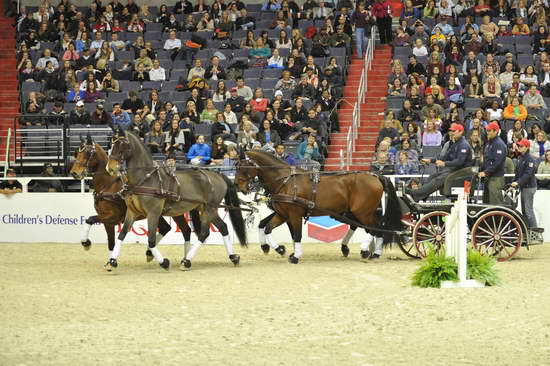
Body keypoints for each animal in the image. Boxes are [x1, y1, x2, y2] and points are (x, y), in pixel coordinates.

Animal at [70, 136, 197, 268]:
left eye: (88, 153)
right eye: (77, 153)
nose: (74, 173)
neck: (108, 185)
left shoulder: (112, 216)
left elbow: (89, 219)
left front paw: (86, 243)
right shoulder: (107, 221)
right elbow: (111, 242)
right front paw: (111, 261)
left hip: (176, 212)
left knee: (185, 230)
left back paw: (185, 259)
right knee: (167, 228)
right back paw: (152, 254)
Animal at [106, 129, 248, 268]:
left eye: (122, 145)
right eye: (111, 145)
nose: (110, 168)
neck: (145, 179)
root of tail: (218, 175)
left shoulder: (153, 213)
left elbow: (151, 239)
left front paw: (163, 262)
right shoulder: (132, 212)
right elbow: (122, 234)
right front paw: (112, 261)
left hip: (209, 208)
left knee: (204, 233)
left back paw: (187, 261)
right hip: (205, 209)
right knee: (222, 227)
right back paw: (233, 257)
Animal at [235, 151, 404, 264]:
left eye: (243, 167)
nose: (238, 186)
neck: (285, 181)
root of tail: (375, 176)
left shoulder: (294, 214)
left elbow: (296, 235)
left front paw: (294, 256)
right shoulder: (282, 214)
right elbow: (266, 227)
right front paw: (276, 248)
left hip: (363, 212)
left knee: (374, 229)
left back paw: (365, 251)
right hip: (358, 212)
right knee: (372, 228)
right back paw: (372, 252)